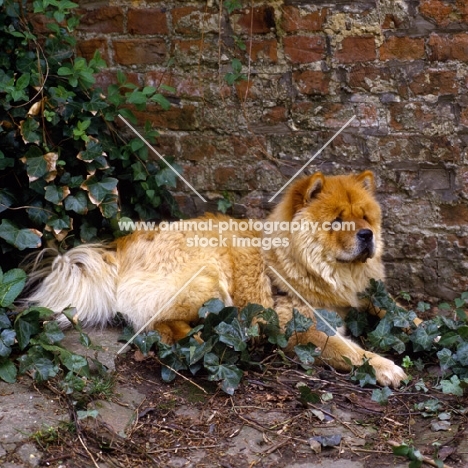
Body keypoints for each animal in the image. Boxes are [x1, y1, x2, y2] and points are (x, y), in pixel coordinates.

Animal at [24, 172, 406, 388]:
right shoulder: (300, 325)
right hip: (209, 277)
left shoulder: (366, 298)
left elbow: (398, 312)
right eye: (337, 221)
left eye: (365, 217)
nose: (368, 235)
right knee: (156, 327)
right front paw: (386, 367)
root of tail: (121, 249)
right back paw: (207, 341)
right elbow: (351, 351)